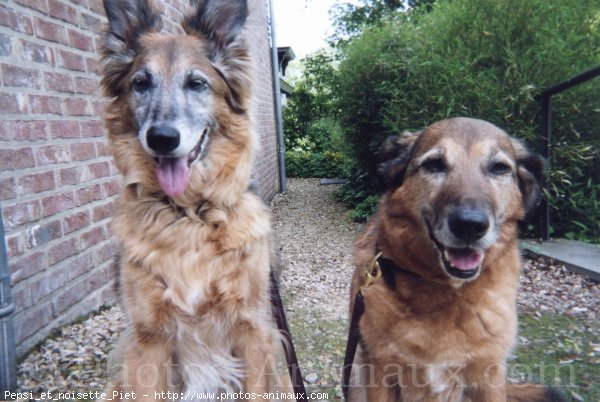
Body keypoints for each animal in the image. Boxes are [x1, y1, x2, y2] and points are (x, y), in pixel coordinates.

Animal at [99, 0, 290, 398]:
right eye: (141, 83)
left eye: (197, 84)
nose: (162, 138)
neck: (189, 214)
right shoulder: (148, 340)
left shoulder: (254, 331)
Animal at [346, 118, 564, 402]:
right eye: (434, 164)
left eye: (499, 168)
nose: (470, 226)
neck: (445, 289)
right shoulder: (379, 370)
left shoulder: (489, 376)